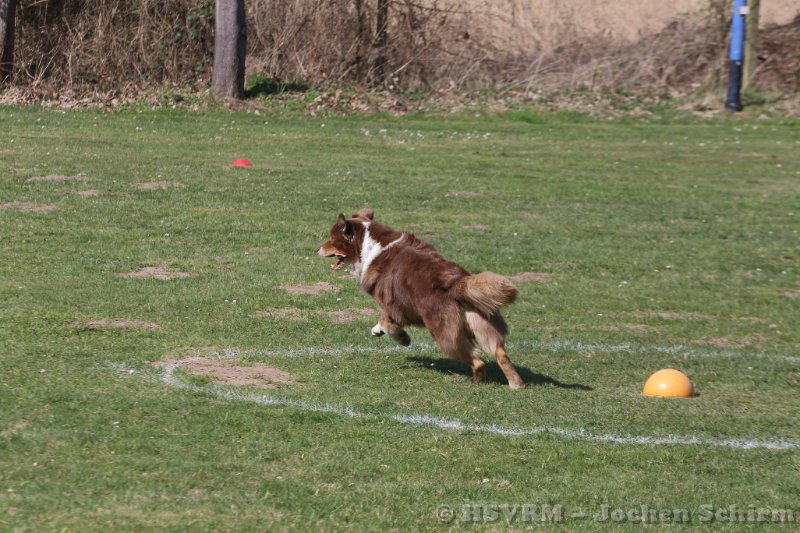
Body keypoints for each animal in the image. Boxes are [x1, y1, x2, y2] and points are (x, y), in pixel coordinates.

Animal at [316, 208, 524, 389]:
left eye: (332, 238)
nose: (316, 249)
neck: (369, 246)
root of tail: (457, 283)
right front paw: (379, 330)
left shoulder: (391, 303)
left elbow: (388, 321)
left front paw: (400, 337)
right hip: (482, 323)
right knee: (500, 352)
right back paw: (516, 385)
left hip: (445, 335)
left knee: (478, 360)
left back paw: (475, 381)